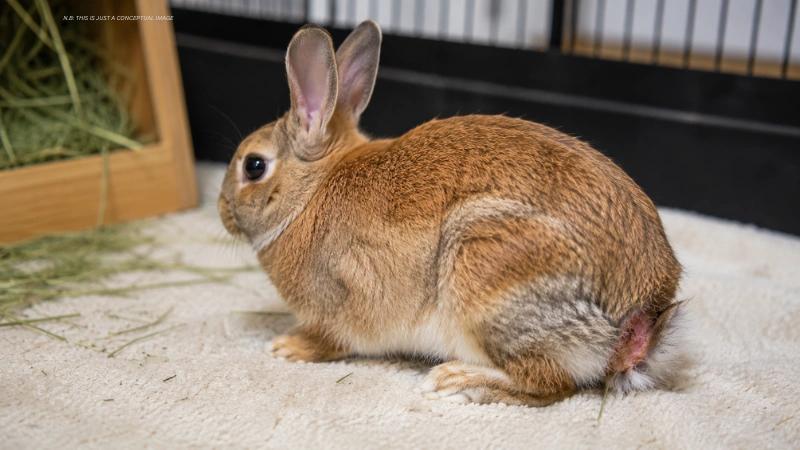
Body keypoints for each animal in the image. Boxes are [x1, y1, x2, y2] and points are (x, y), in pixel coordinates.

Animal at [218, 20, 685, 406]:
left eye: (253, 166)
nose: (222, 210)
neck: (309, 191)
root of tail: (639, 319)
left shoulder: (341, 302)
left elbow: (333, 340)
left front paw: (287, 347)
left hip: (486, 275)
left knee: (550, 383)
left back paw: (458, 381)